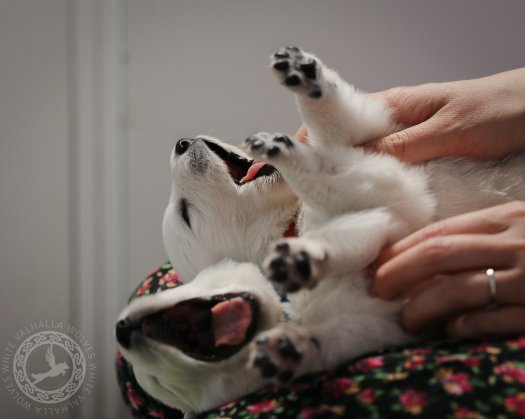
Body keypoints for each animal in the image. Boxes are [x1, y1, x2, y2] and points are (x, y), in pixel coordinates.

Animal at [116, 47, 524, 416]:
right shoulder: (389, 214)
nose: (181, 143)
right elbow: (336, 196)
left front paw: (308, 81)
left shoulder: (376, 139)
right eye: (186, 214)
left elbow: (336, 125)